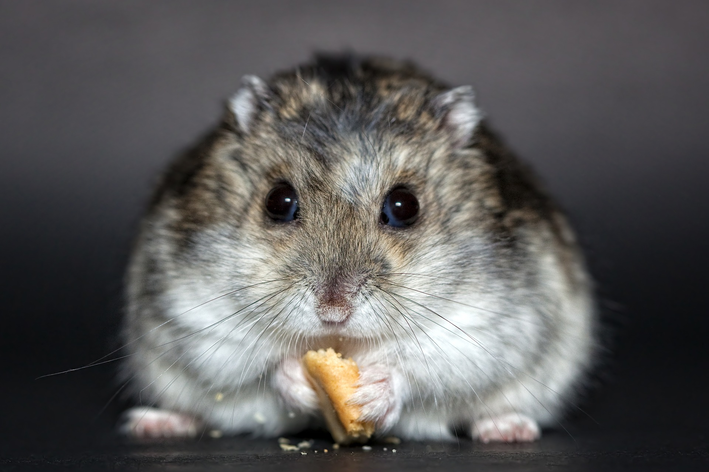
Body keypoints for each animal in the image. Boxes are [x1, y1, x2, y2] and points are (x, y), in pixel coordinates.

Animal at [120, 56, 592, 442]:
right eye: (278, 201)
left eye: (404, 206)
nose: (333, 312)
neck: (341, 342)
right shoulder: (197, 316)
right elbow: (259, 364)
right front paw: (298, 378)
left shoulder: (485, 327)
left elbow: (421, 368)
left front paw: (371, 393)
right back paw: (155, 423)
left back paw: (507, 429)